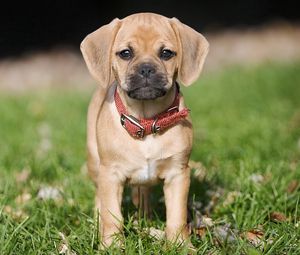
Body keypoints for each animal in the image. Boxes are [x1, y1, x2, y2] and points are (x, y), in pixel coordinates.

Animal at [79, 12, 209, 248]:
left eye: (166, 53)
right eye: (126, 53)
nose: (146, 68)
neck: (146, 120)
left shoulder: (178, 174)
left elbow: (176, 216)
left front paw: (180, 245)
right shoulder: (110, 175)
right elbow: (112, 216)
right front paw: (112, 246)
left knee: (143, 194)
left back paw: (144, 219)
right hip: (95, 163)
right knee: (98, 198)